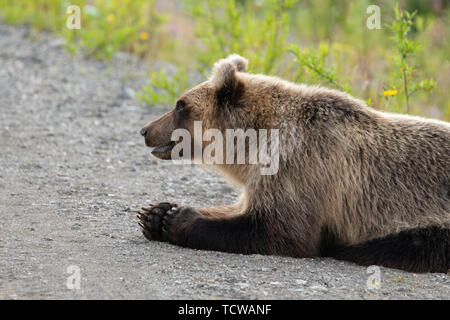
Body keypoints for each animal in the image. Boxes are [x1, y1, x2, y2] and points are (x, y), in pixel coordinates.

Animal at [138, 54, 450, 272]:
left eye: (180, 105)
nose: (145, 130)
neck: (253, 146)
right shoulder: (263, 179)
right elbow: (240, 208)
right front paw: (156, 212)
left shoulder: (301, 167)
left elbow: (279, 231)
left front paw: (177, 219)